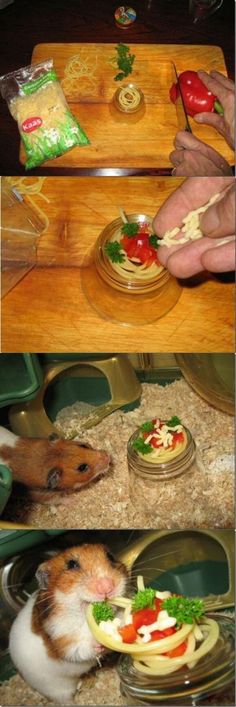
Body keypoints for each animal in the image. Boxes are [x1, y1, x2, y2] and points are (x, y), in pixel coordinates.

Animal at [9, 544, 128, 704]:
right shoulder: (63, 641)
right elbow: (81, 649)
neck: (84, 616)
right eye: (72, 565)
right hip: (56, 690)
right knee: (65, 699)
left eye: (110, 556)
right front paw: (99, 644)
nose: (107, 586)